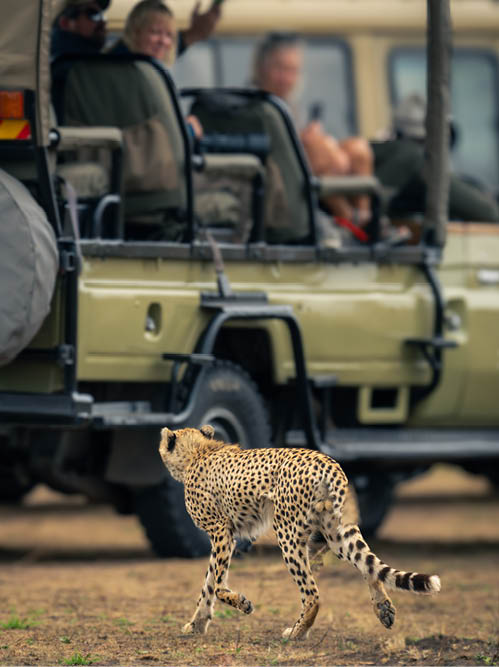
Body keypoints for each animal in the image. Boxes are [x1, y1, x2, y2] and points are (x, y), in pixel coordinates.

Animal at [159, 425, 441, 640]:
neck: (199, 451)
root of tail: (327, 461)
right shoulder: (222, 536)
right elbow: (208, 583)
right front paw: (196, 624)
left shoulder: (221, 532)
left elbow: (216, 584)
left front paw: (241, 603)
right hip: (336, 533)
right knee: (368, 565)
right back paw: (383, 609)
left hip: (287, 533)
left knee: (312, 593)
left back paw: (297, 632)